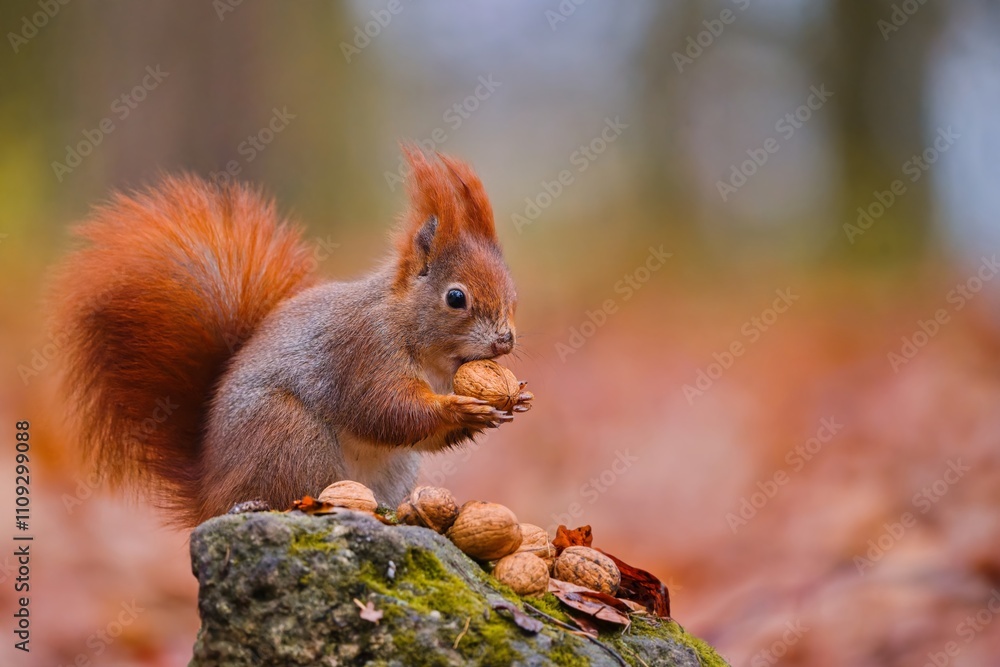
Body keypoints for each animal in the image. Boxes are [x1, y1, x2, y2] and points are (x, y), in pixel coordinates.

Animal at [52, 146, 531, 527]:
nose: (504, 342)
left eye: (513, 292)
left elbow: (420, 433)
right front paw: (460, 408)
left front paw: (512, 401)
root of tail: (210, 495)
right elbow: (385, 410)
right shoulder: (363, 352)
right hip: (290, 438)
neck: (410, 331)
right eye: (456, 297)